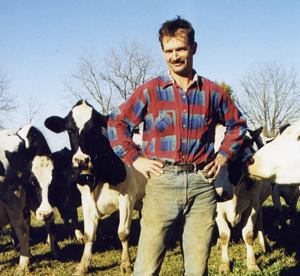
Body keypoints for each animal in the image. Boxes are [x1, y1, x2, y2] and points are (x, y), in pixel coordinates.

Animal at [44, 100, 146, 274]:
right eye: (70, 129)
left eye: (94, 129)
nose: (81, 160)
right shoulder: (86, 200)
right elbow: (88, 235)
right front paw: (83, 265)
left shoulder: (127, 197)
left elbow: (123, 232)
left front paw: (125, 263)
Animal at [213, 126, 272, 272]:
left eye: (234, 155)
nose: (218, 194)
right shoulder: (218, 208)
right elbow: (224, 235)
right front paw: (224, 265)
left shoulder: (253, 204)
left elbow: (248, 234)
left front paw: (252, 264)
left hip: (260, 200)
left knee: (260, 219)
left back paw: (264, 244)